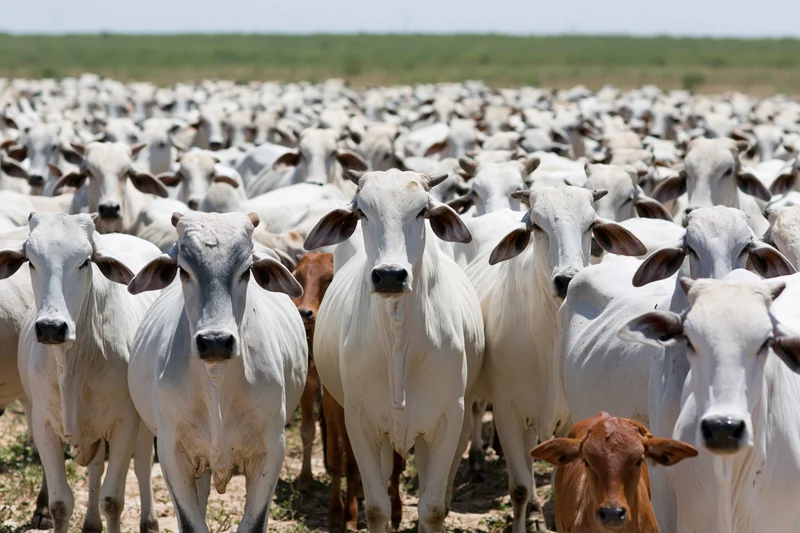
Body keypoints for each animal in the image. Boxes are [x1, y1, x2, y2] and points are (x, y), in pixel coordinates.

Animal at [0, 213, 161, 533]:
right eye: (30, 261)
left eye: (85, 261)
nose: (51, 327)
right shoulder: (43, 425)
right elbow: (61, 504)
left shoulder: (125, 423)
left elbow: (113, 500)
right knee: (96, 466)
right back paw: (91, 524)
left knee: (142, 462)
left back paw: (149, 522)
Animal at [127, 211, 308, 533]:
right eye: (183, 271)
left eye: (247, 270)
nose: (215, 342)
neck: (217, 382)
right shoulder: (173, 455)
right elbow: (192, 524)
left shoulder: (271, 452)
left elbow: (253, 524)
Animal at [305, 169, 484, 533]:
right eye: (362, 212)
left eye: (422, 211)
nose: (389, 276)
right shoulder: (361, 422)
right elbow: (376, 508)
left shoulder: (448, 420)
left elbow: (432, 509)